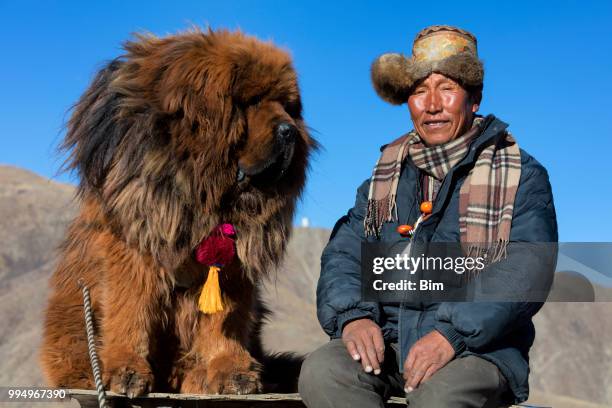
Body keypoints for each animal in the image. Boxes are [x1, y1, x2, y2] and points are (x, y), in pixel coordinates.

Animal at [39, 29, 316, 398]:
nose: (290, 131)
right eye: (251, 101)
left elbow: (225, 318)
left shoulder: (231, 265)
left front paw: (231, 369)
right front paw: (126, 370)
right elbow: (130, 310)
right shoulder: (134, 251)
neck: (202, 187)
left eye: (288, 106)